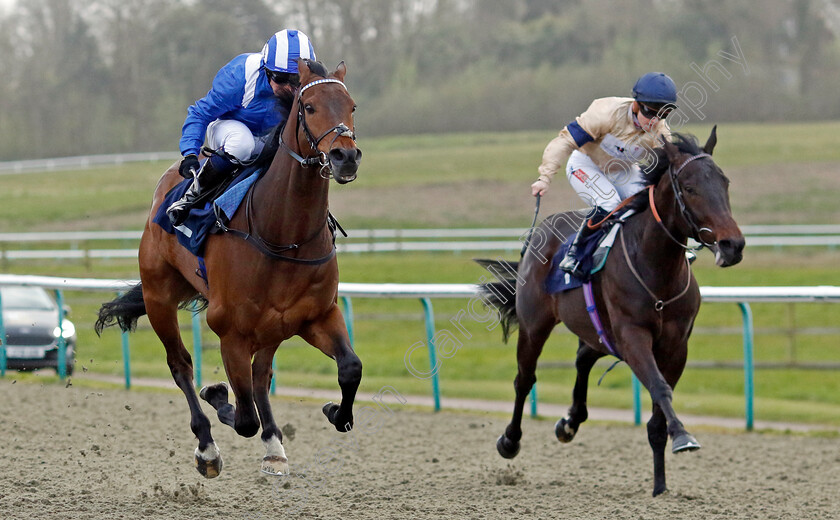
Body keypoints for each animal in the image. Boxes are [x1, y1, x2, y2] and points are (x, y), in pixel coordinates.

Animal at [94, 59, 360, 478]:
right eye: (310, 106)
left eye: (351, 106)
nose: (345, 157)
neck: (285, 234)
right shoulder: (230, 330)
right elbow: (243, 417)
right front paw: (218, 394)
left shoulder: (317, 315)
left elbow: (350, 367)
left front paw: (337, 412)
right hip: (159, 297)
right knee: (181, 366)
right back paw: (207, 446)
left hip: (273, 326)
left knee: (261, 375)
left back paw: (274, 444)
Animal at [476, 129, 744, 496]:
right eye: (690, 188)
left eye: (725, 182)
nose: (733, 245)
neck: (657, 268)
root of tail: (538, 232)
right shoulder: (632, 336)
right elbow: (660, 387)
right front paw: (683, 437)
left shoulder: (676, 345)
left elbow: (658, 415)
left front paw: (660, 487)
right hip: (535, 325)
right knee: (525, 379)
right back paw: (510, 441)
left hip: (598, 329)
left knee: (583, 357)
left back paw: (570, 422)